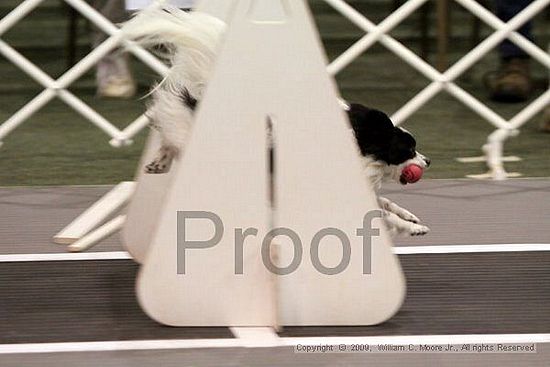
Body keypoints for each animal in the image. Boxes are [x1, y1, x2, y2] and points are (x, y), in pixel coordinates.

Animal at [123, 4, 434, 237]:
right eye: (407, 149)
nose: (429, 161)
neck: (361, 142)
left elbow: (385, 202)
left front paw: (409, 216)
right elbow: (379, 211)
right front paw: (411, 228)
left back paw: (157, 164)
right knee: (168, 128)